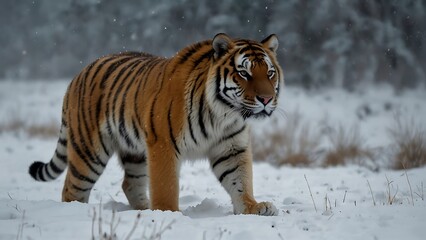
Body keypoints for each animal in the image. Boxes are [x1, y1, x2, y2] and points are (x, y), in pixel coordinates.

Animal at [28, 33, 284, 216]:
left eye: (270, 73)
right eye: (244, 73)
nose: (266, 99)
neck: (223, 114)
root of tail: (77, 75)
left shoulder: (231, 148)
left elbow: (240, 180)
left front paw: (253, 207)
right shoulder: (164, 145)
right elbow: (166, 185)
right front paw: (168, 213)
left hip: (134, 152)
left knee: (130, 184)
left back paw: (142, 210)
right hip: (88, 150)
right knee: (72, 188)